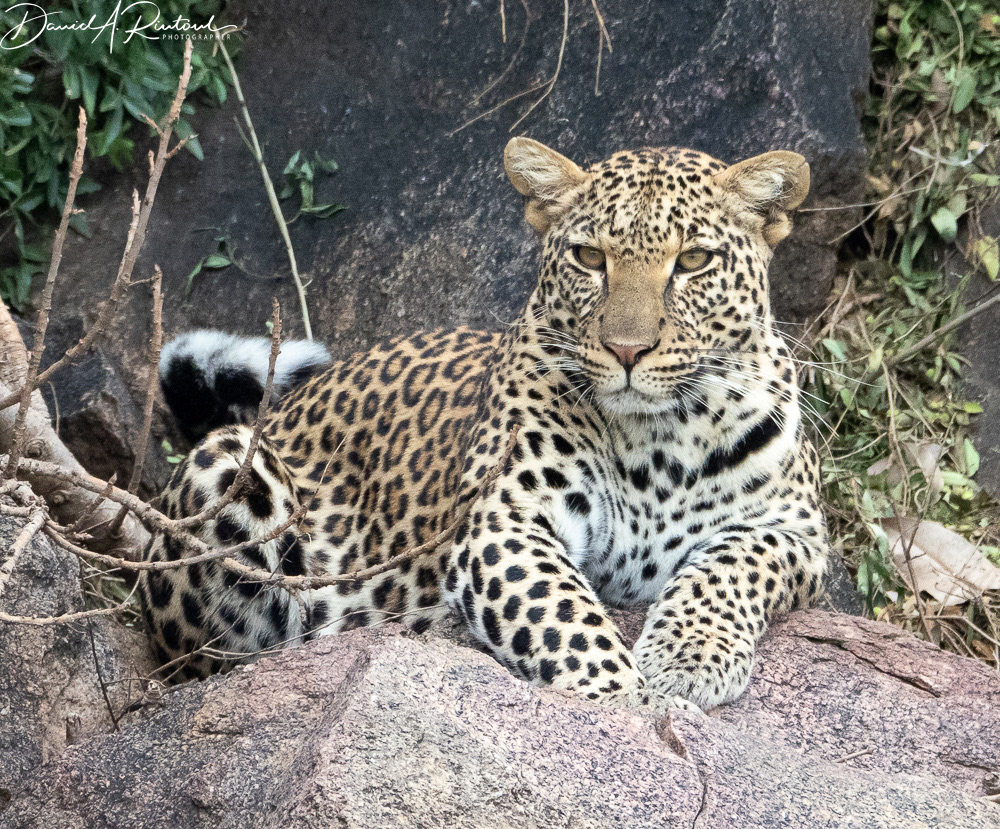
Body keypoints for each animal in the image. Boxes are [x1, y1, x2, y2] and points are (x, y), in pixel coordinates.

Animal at [139, 137, 828, 713]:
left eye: (693, 261)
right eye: (589, 257)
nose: (627, 350)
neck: (658, 439)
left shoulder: (795, 532)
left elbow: (732, 567)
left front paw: (686, 662)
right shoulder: (505, 520)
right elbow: (566, 617)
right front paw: (632, 705)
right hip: (229, 469)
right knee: (216, 661)